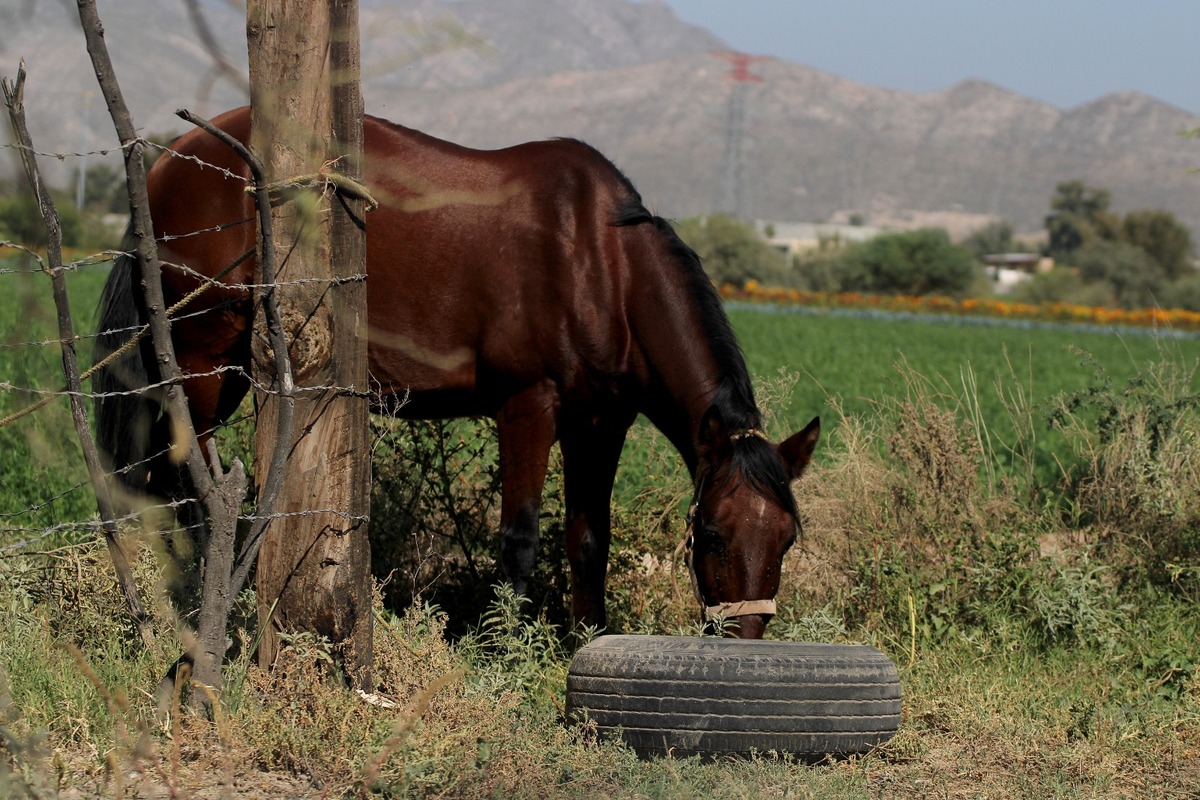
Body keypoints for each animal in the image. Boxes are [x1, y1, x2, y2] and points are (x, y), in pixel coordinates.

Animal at [93, 106, 820, 639]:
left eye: (786, 539)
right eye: (714, 535)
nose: (745, 644)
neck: (599, 262)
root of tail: (169, 157)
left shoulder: (600, 423)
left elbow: (590, 539)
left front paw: (586, 639)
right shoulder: (528, 407)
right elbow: (521, 539)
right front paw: (503, 646)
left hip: (232, 369)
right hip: (202, 361)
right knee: (192, 486)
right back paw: (211, 599)